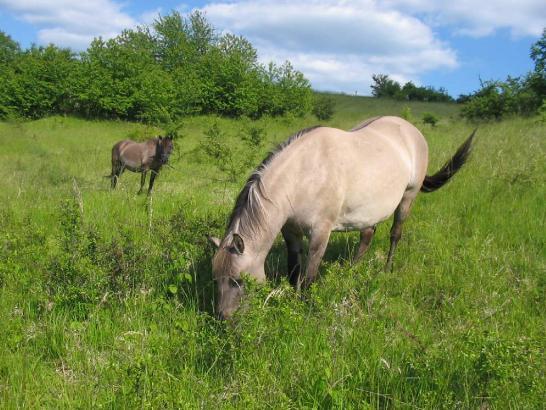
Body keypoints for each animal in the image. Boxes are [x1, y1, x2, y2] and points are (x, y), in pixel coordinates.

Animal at [208, 116, 472, 320]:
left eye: (238, 281)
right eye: (215, 279)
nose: (224, 319)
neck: (304, 175)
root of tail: (412, 130)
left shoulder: (320, 233)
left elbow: (309, 275)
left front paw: (304, 308)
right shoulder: (290, 231)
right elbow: (294, 269)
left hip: (408, 197)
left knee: (395, 234)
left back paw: (386, 270)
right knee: (367, 235)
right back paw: (352, 272)